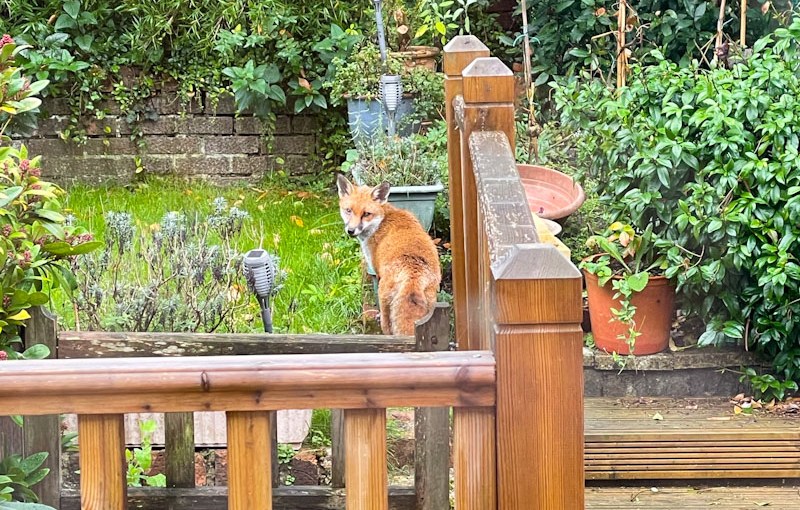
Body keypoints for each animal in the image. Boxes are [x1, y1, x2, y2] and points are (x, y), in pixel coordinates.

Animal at [336, 174, 441, 336]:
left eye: (366, 214)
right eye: (348, 210)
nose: (351, 231)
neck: (381, 221)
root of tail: (413, 276)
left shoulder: (377, 271)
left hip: (384, 298)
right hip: (431, 305)